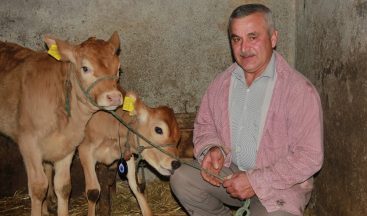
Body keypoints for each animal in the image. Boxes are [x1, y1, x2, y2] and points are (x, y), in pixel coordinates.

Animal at [0, 32, 123, 216]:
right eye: (85, 68)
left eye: (118, 69)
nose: (114, 97)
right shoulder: (28, 143)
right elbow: (38, 188)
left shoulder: (68, 146)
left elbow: (64, 186)